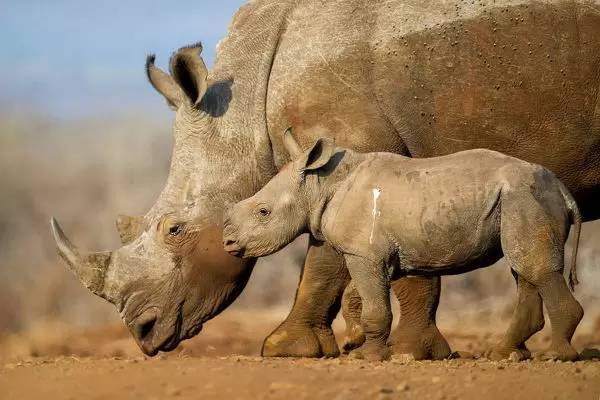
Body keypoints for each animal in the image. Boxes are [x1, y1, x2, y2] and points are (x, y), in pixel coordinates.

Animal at [224, 130, 580, 360]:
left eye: (263, 212)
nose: (227, 242)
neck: (319, 185)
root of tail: (564, 191)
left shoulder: (364, 253)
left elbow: (374, 306)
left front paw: (367, 357)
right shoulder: (385, 250)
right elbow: (369, 295)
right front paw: (366, 347)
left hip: (526, 197)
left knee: (536, 269)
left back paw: (555, 357)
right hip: (521, 199)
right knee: (524, 269)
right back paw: (503, 355)